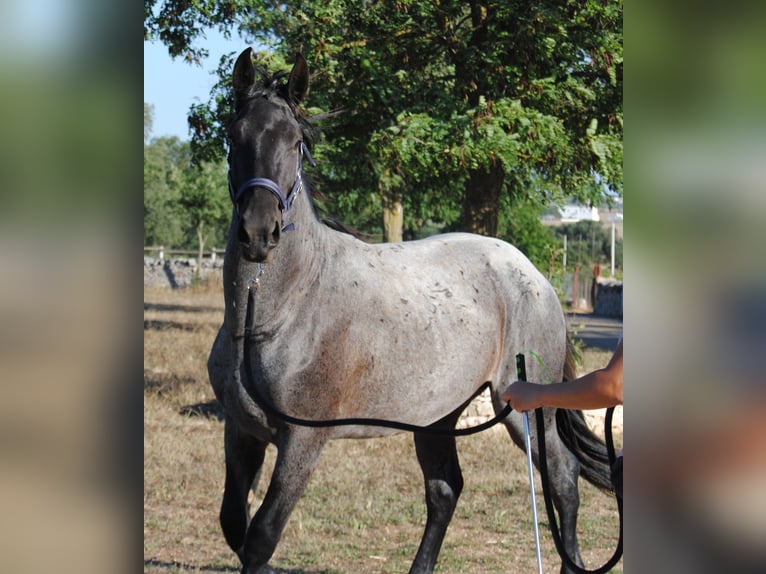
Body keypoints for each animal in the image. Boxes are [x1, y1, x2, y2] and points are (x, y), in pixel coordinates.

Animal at [207, 49, 616, 574]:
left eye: (296, 142)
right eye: (234, 135)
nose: (259, 233)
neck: (275, 316)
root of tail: (532, 275)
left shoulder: (301, 443)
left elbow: (261, 537)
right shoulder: (241, 432)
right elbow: (233, 526)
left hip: (527, 409)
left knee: (563, 479)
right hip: (437, 416)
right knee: (445, 491)